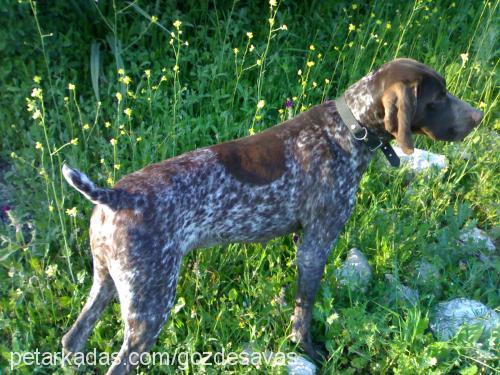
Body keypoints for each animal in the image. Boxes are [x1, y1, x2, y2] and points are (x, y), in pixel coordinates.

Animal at [60, 58, 482, 374]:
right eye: (439, 96)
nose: (479, 117)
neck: (347, 130)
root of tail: (115, 195)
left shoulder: (300, 239)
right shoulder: (316, 243)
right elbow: (304, 313)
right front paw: (308, 350)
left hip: (107, 281)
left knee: (71, 340)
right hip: (151, 302)